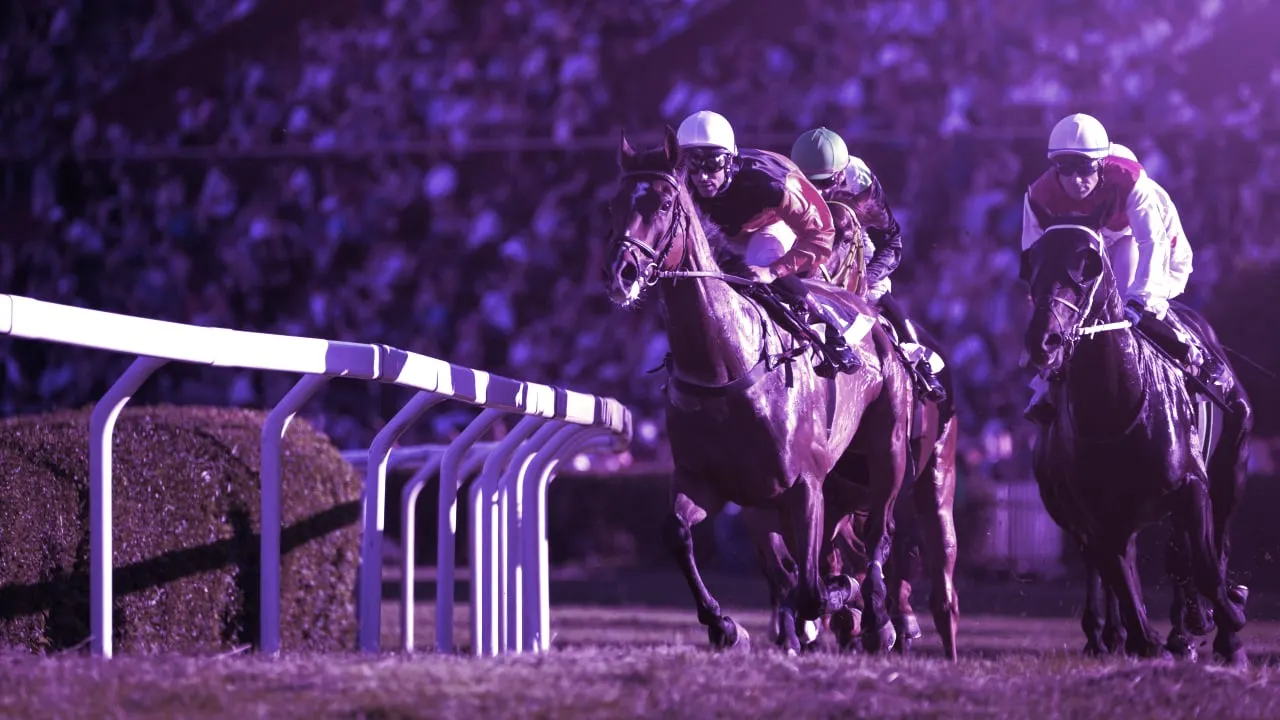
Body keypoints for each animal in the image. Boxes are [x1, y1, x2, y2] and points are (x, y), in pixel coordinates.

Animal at [604, 127, 916, 650]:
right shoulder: (706, 481)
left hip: (886, 449)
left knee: (880, 534)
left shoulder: (805, 487)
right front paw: (724, 624)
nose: (621, 274)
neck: (725, 366)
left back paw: (879, 618)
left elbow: (811, 590)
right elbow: (677, 533)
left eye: (665, 203)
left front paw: (841, 602)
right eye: (614, 204)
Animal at [1018, 215, 1249, 666]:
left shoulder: (1192, 486)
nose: (1044, 341)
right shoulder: (1097, 515)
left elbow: (1206, 565)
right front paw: (1145, 640)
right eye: (1032, 268)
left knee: (1212, 546)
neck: (1119, 405)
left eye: (1086, 270)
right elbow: (1123, 579)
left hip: (1231, 467)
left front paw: (1228, 628)